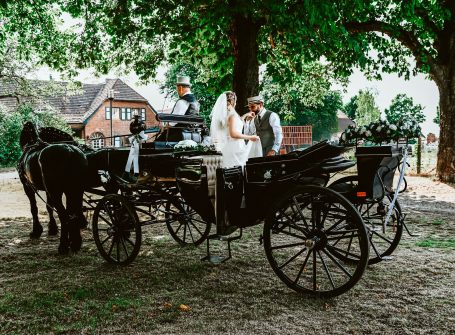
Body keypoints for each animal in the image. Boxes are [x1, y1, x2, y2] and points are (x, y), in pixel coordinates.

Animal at [18, 122, 89, 255]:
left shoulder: (28, 187)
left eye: (23, 133)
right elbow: (49, 208)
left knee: (64, 215)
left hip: (56, 192)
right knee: (73, 213)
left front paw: (36, 231)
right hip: (75, 191)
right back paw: (75, 242)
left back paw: (63, 246)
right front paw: (52, 228)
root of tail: (70, 151)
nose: (21, 144)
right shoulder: (48, 190)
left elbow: (34, 209)